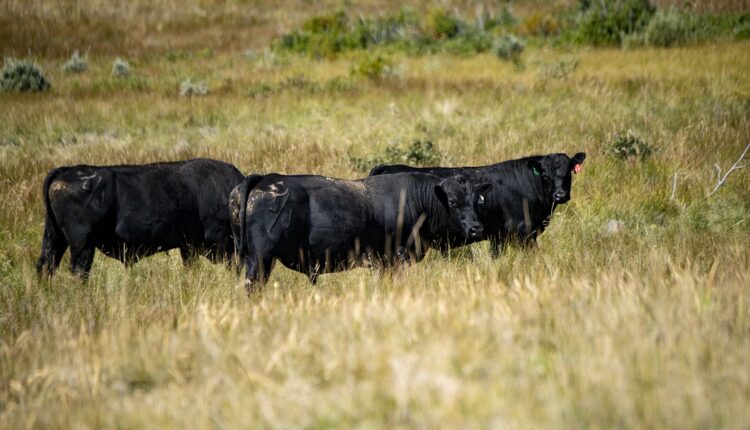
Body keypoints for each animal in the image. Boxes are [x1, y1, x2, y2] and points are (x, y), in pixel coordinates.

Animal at [36, 158, 244, 279]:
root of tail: (64, 171)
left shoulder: (188, 246)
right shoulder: (222, 243)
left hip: (55, 238)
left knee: (46, 265)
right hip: (82, 246)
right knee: (79, 271)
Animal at [229, 172, 492, 291]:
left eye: (476, 201)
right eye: (453, 202)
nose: (477, 228)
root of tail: (266, 178)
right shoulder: (395, 256)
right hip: (261, 259)